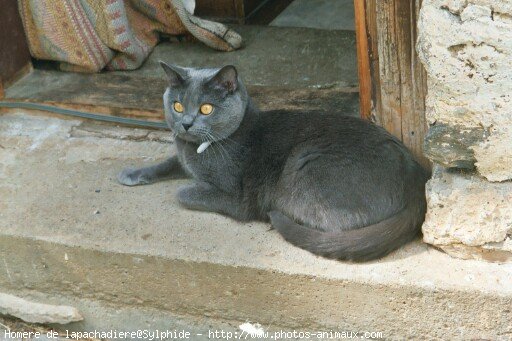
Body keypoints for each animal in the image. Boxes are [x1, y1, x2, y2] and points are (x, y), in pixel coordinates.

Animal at [119, 62, 428, 260]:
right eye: (177, 105)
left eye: (206, 108)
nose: (185, 123)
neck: (196, 150)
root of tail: (417, 182)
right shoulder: (183, 156)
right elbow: (170, 162)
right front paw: (131, 174)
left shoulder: (236, 198)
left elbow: (183, 193)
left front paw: (185, 187)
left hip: (303, 167)